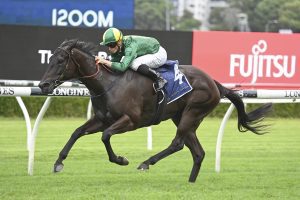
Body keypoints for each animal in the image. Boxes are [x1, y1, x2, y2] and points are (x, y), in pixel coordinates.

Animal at [38, 39, 272, 183]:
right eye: (49, 59)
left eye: (60, 61)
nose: (43, 85)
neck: (108, 83)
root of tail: (213, 82)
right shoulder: (102, 119)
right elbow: (77, 132)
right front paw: (58, 163)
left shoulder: (130, 121)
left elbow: (105, 136)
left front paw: (121, 159)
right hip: (182, 117)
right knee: (197, 152)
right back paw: (190, 183)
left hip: (192, 112)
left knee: (177, 144)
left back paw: (146, 163)